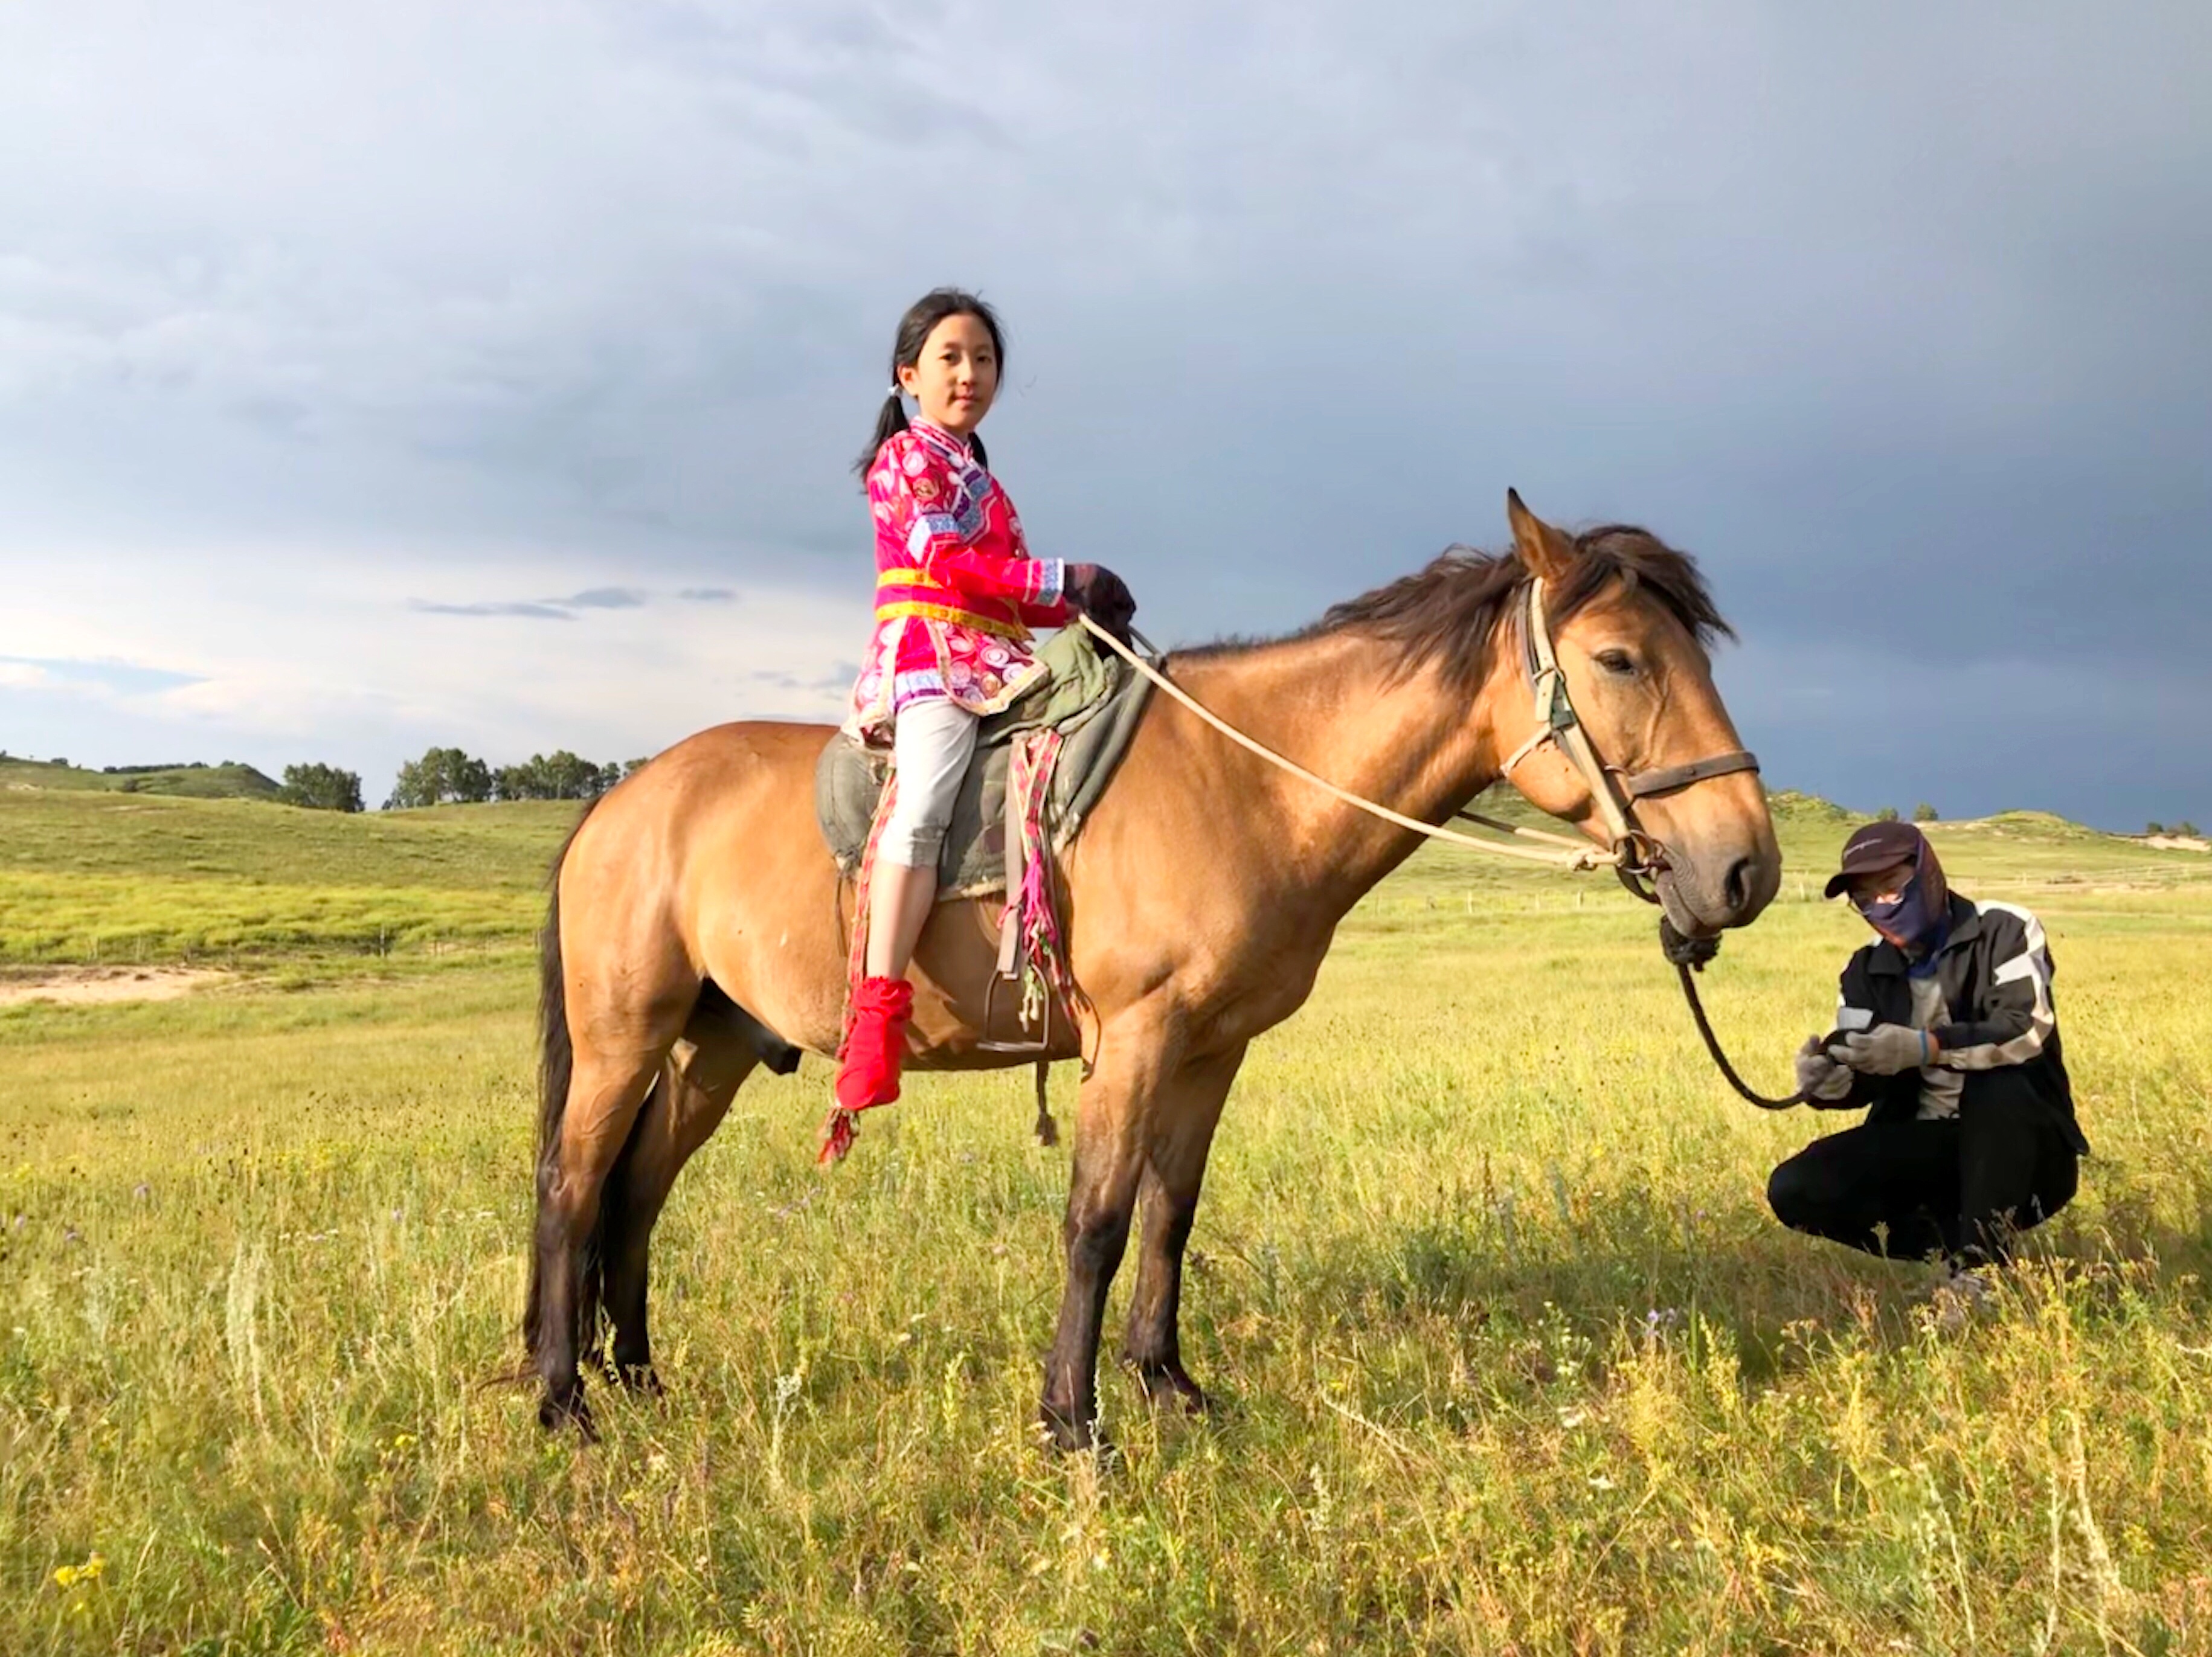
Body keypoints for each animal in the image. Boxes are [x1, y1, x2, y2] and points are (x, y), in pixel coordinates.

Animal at [522, 492, 1781, 1449]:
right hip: (625, 1036)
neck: (1248, 781)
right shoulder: (1130, 1036)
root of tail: (619, 802)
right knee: (572, 1184)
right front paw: (1071, 1420)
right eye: (1618, 657)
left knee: (637, 1189)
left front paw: (1168, 1382)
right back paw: (563, 1399)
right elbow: (1097, 1220)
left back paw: (637, 1378)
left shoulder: (1209, 1048)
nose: (1745, 866)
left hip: (713, 1045)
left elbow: (1171, 1214)